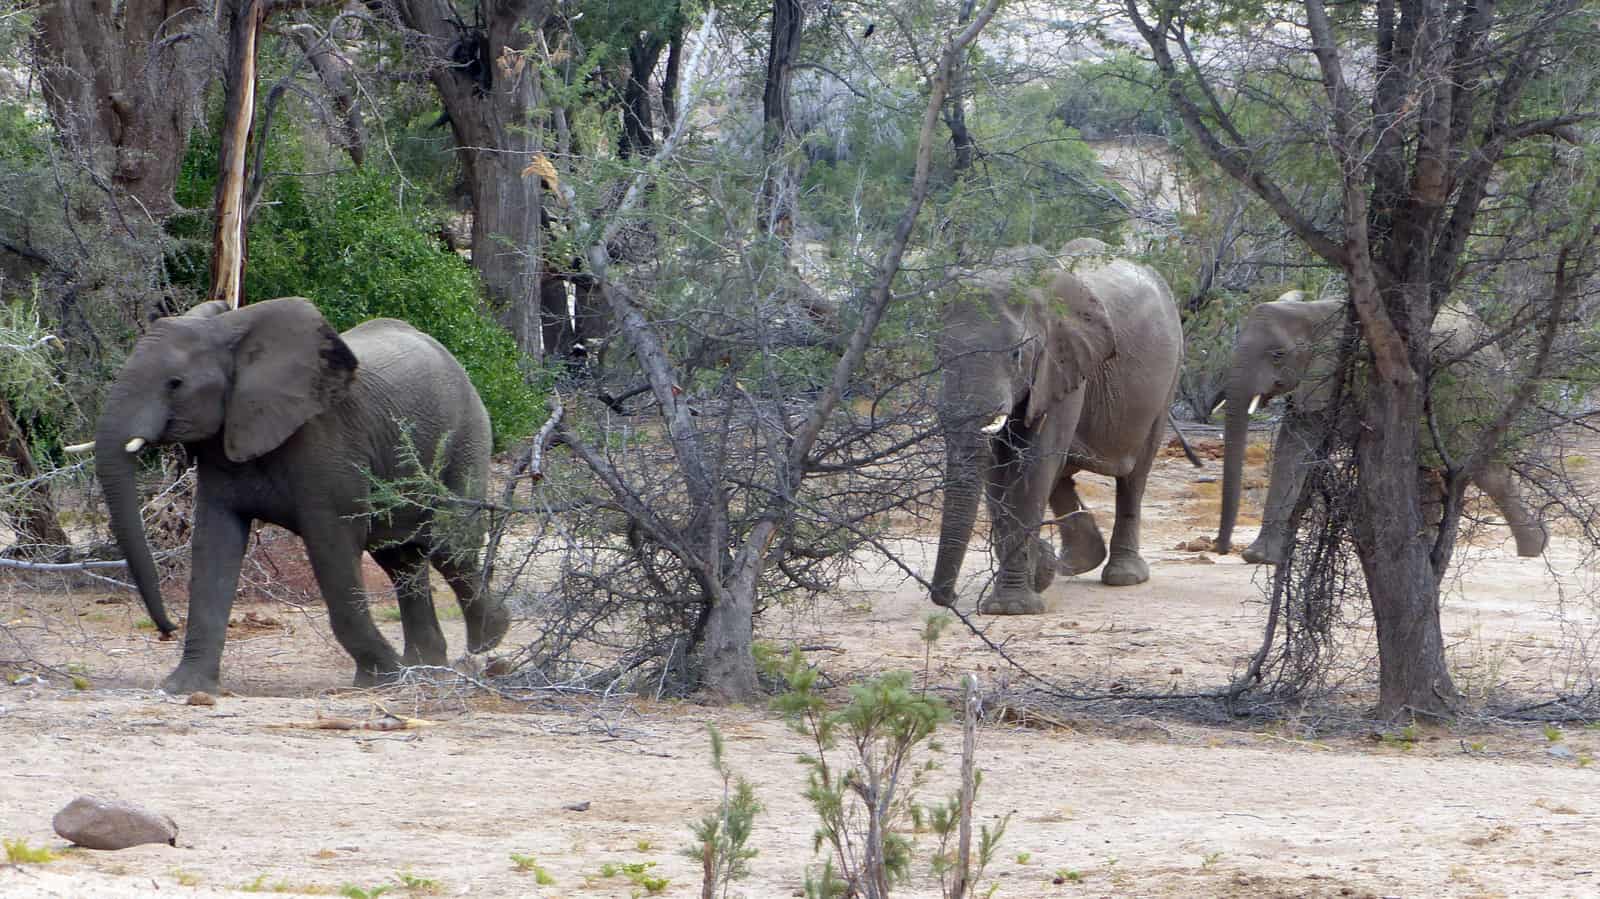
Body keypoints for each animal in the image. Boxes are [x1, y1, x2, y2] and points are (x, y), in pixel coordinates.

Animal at [86, 297, 505, 687]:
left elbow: (332, 545)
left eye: (174, 383)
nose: (166, 629)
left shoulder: (327, 442)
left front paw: (382, 677)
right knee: (401, 557)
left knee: (448, 544)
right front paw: (184, 687)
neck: (233, 336)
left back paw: (487, 641)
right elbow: (215, 543)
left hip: (466, 434)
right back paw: (426, 668)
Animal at [928, 238, 1190, 611]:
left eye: (1016, 355)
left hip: (1170, 374)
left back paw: (1121, 576)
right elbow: (998, 468)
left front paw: (1013, 608)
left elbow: (1034, 465)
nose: (946, 597)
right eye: (939, 353)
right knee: (1063, 472)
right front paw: (1037, 578)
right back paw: (1074, 562)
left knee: (1133, 476)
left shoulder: (1063, 361)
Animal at [1216, 292, 1542, 559]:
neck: (1313, 310)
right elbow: (1293, 445)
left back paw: (1533, 548)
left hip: (1476, 392)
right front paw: (1259, 557)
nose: (1222, 548)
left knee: (1486, 472)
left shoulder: (1352, 372)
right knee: (1429, 474)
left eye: (1278, 355)